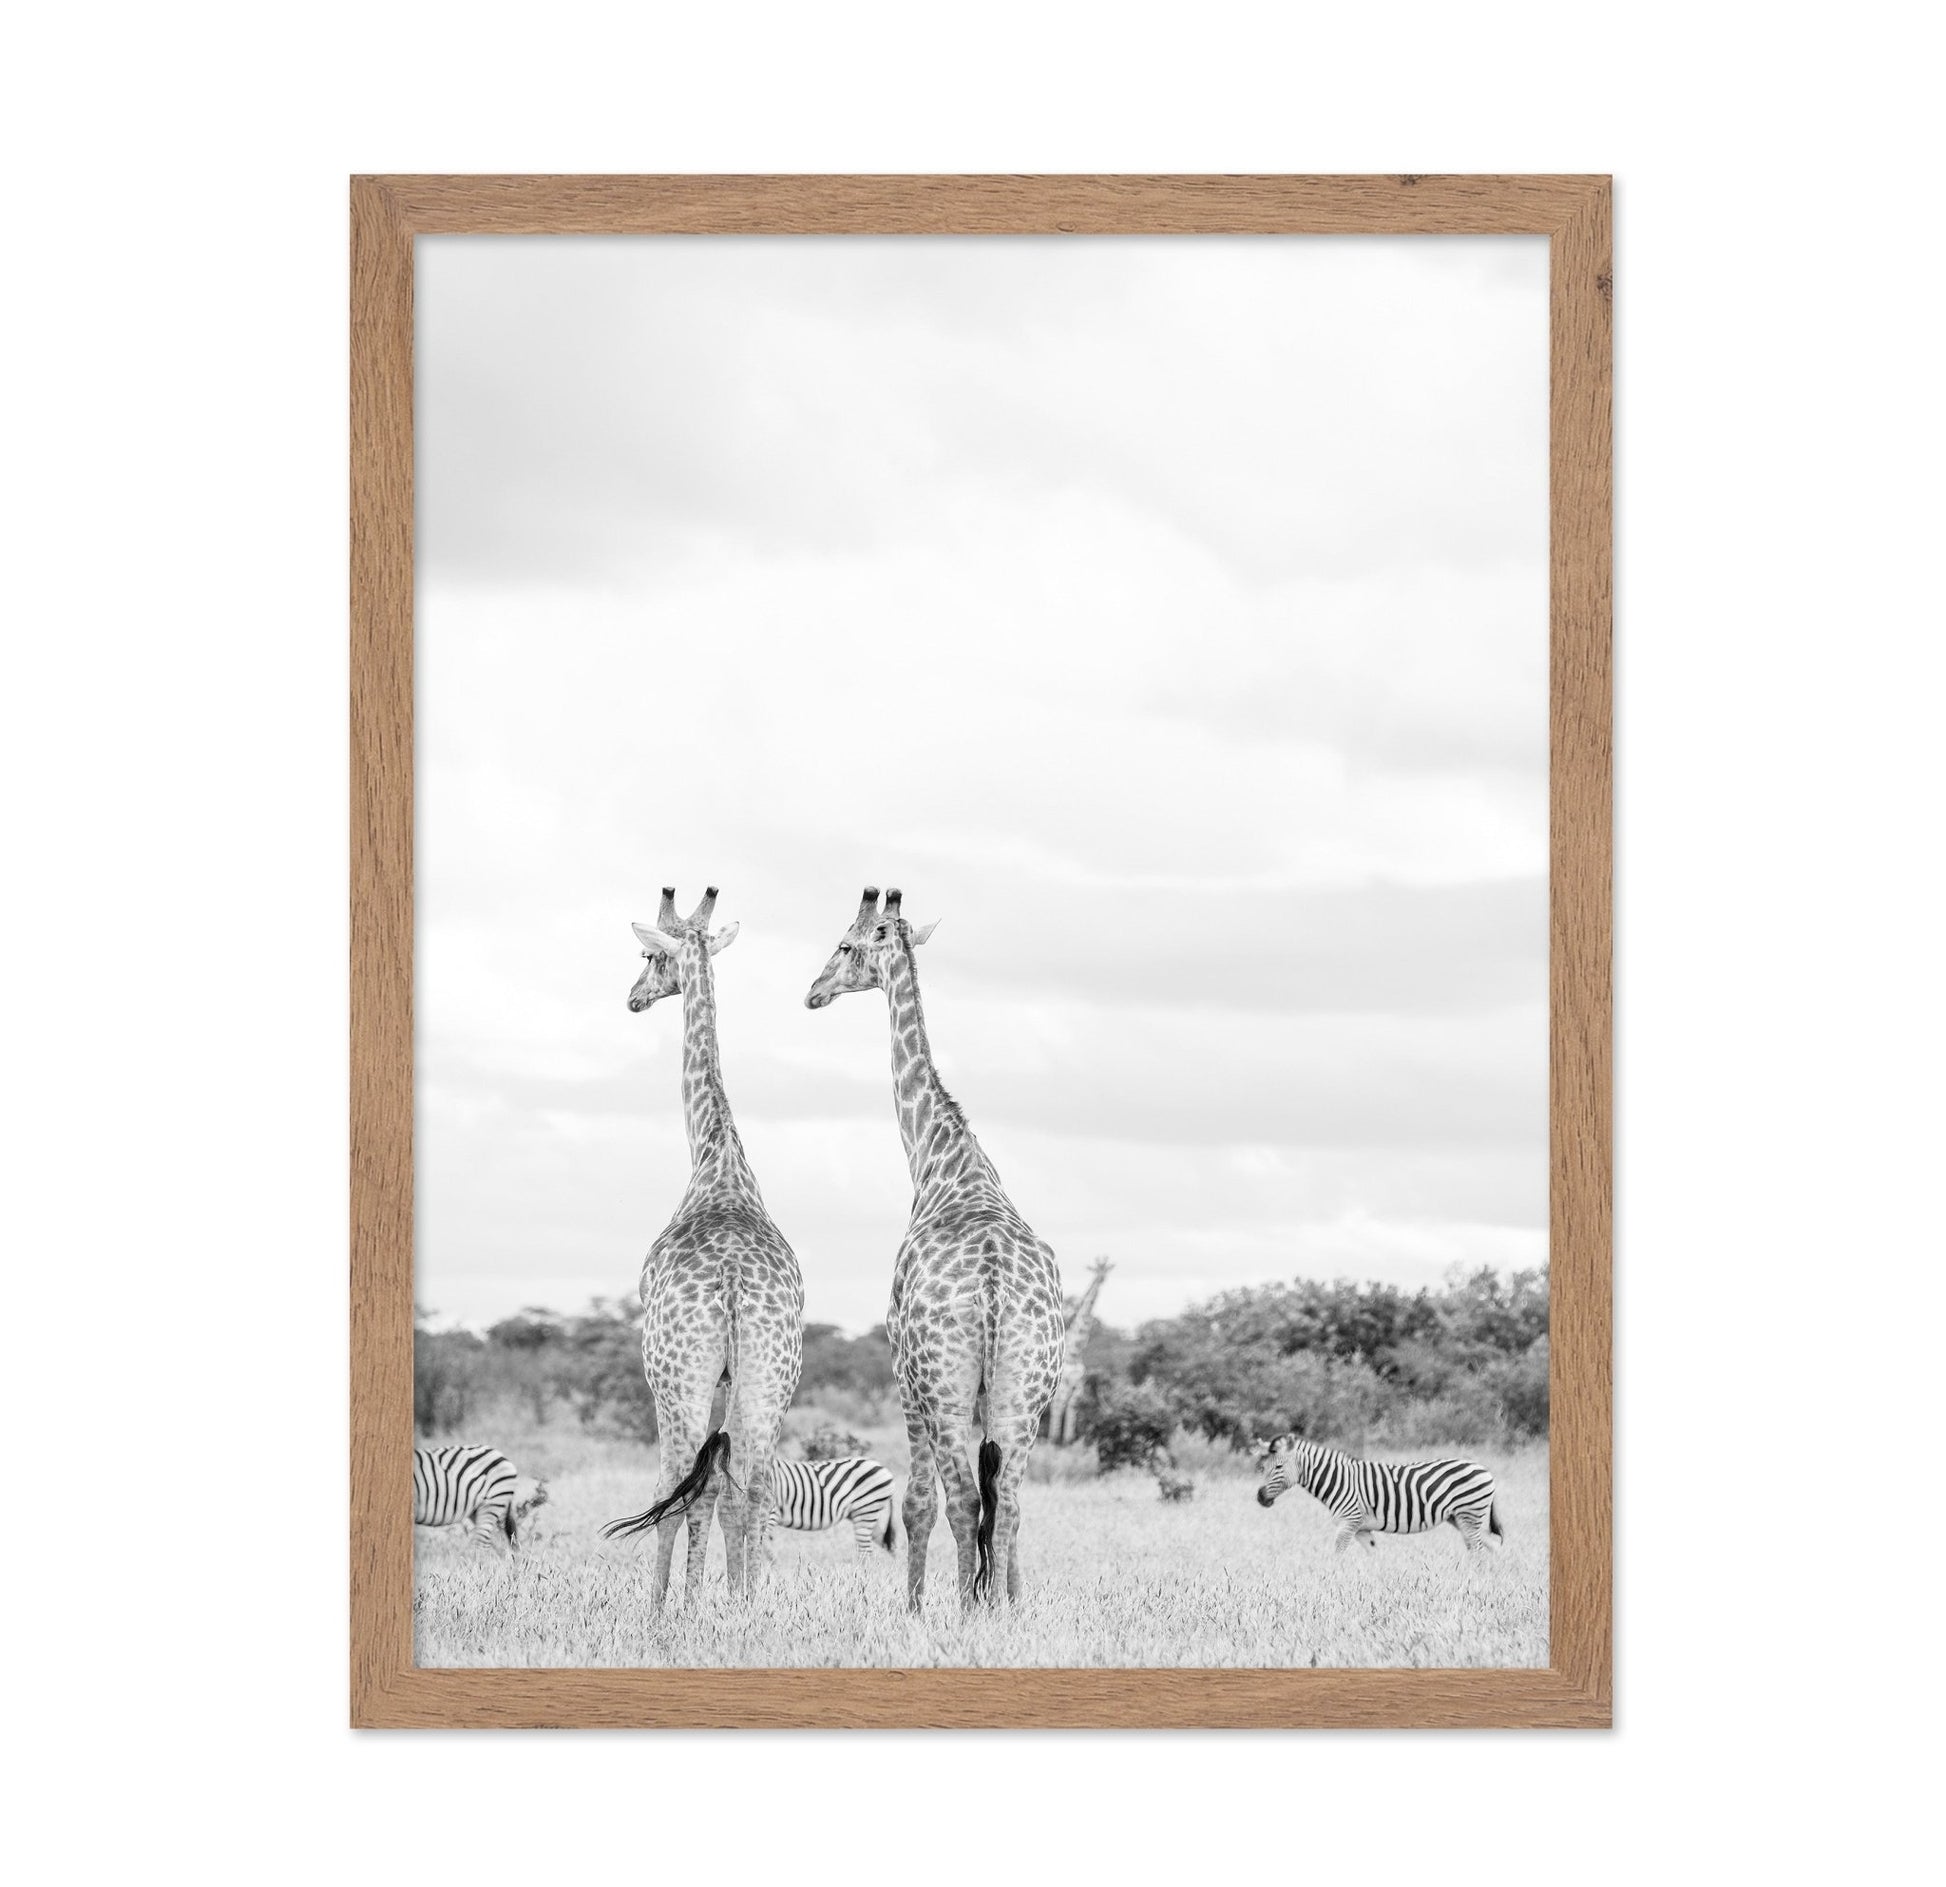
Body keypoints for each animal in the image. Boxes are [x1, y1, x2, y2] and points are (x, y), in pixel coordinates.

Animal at [602, 886, 804, 1610]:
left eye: (647, 956)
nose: (633, 997)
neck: (717, 1162)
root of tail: (735, 1288)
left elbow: (685, 1490)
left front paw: (675, 1605)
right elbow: (723, 1488)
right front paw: (712, 1598)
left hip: (676, 1378)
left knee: (673, 1485)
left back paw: (666, 1611)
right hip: (771, 1379)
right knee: (754, 1486)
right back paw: (747, 1606)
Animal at [805, 886, 1065, 1611]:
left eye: (844, 944)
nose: (813, 992)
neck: (940, 1159)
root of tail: (993, 1285)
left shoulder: (904, 1376)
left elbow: (919, 1502)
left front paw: (916, 1606)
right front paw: (995, 1597)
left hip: (944, 1389)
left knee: (960, 1499)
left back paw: (964, 1608)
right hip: (1026, 1392)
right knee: (1008, 1501)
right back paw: (1003, 1607)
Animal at [1049, 1257, 1113, 1446]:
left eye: (1106, 1270)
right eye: (1096, 1270)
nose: (1102, 1279)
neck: (1075, 1352)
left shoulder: (1078, 1386)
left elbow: (1072, 1409)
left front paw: (1067, 1441)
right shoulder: (1063, 1385)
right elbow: (1059, 1407)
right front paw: (1053, 1440)